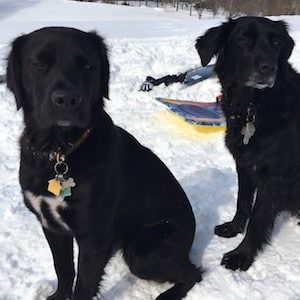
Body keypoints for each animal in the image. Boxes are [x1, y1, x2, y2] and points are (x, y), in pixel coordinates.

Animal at [7, 27, 202, 298]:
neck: (60, 152)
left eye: (87, 65)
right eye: (38, 64)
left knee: (194, 272)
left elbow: (84, 285)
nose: (67, 99)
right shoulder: (52, 225)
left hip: (142, 251)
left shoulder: (94, 235)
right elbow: (63, 269)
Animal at [196, 17, 300, 274]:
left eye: (275, 42)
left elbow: (258, 218)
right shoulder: (244, 165)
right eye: (243, 38)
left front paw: (241, 255)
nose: (268, 68)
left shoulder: (273, 176)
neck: (253, 107)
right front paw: (234, 227)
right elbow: (243, 202)